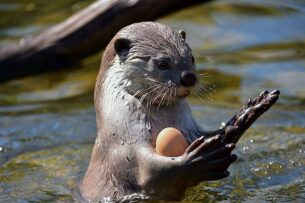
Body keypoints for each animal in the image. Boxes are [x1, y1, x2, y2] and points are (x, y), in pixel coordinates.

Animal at [78, 21, 278, 202]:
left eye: (192, 58)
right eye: (162, 63)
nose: (189, 77)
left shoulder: (189, 128)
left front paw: (247, 113)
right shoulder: (125, 146)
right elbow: (153, 172)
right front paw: (197, 161)